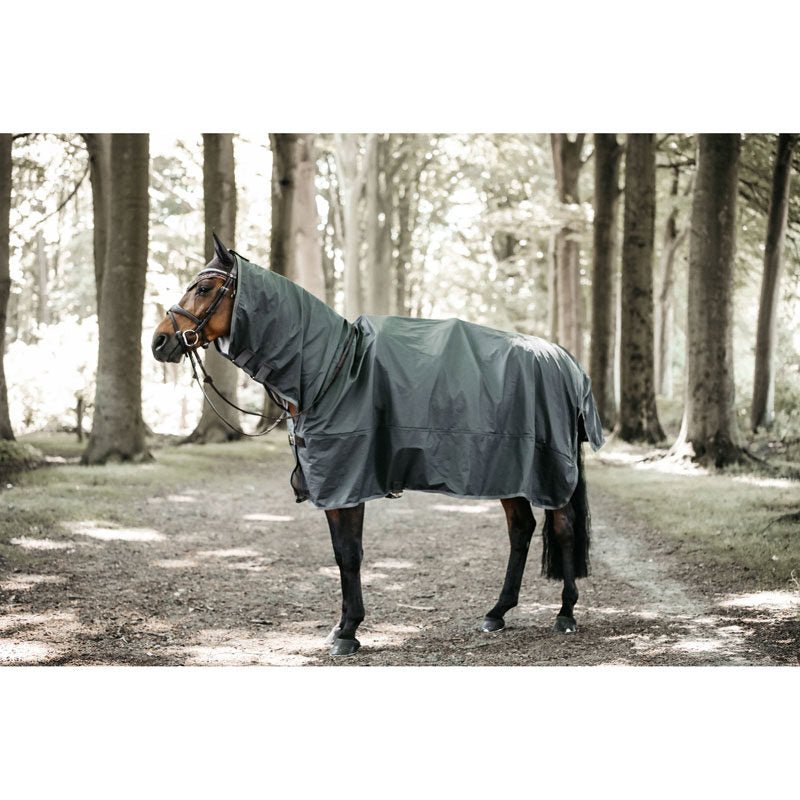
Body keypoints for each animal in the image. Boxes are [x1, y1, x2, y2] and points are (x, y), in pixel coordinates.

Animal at [152, 234, 604, 657]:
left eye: (204, 288)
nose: (159, 342)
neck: (329, 369)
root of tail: (565, 361)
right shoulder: (335, 486)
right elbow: (341, 554)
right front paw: (341, 627)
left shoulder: (347, 482)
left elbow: (350, 555)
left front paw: (348, 632)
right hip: (510, 471)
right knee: (521, 530)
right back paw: (497, 613)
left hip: (547, 471)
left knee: (562, 529)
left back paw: (566, 613)